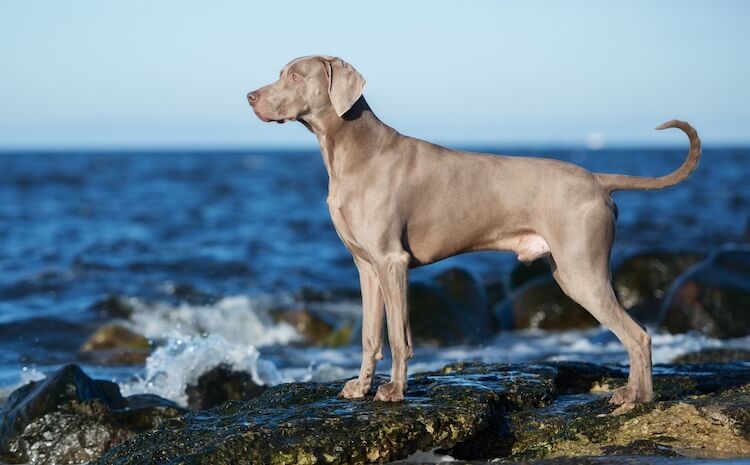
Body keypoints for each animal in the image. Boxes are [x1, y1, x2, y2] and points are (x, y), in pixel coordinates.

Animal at [247, 53, 704, 402]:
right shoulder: (366, 267)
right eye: (281, 71)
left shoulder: (392, 262)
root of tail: (596, 178)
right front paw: (360, 388)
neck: (351, 151)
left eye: (295, 76)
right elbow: (369, 336)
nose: (249, 96)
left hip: (582, 270)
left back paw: (637, 399)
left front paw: (394, 392)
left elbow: (398, 336)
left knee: (638, 335)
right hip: (569, 270)